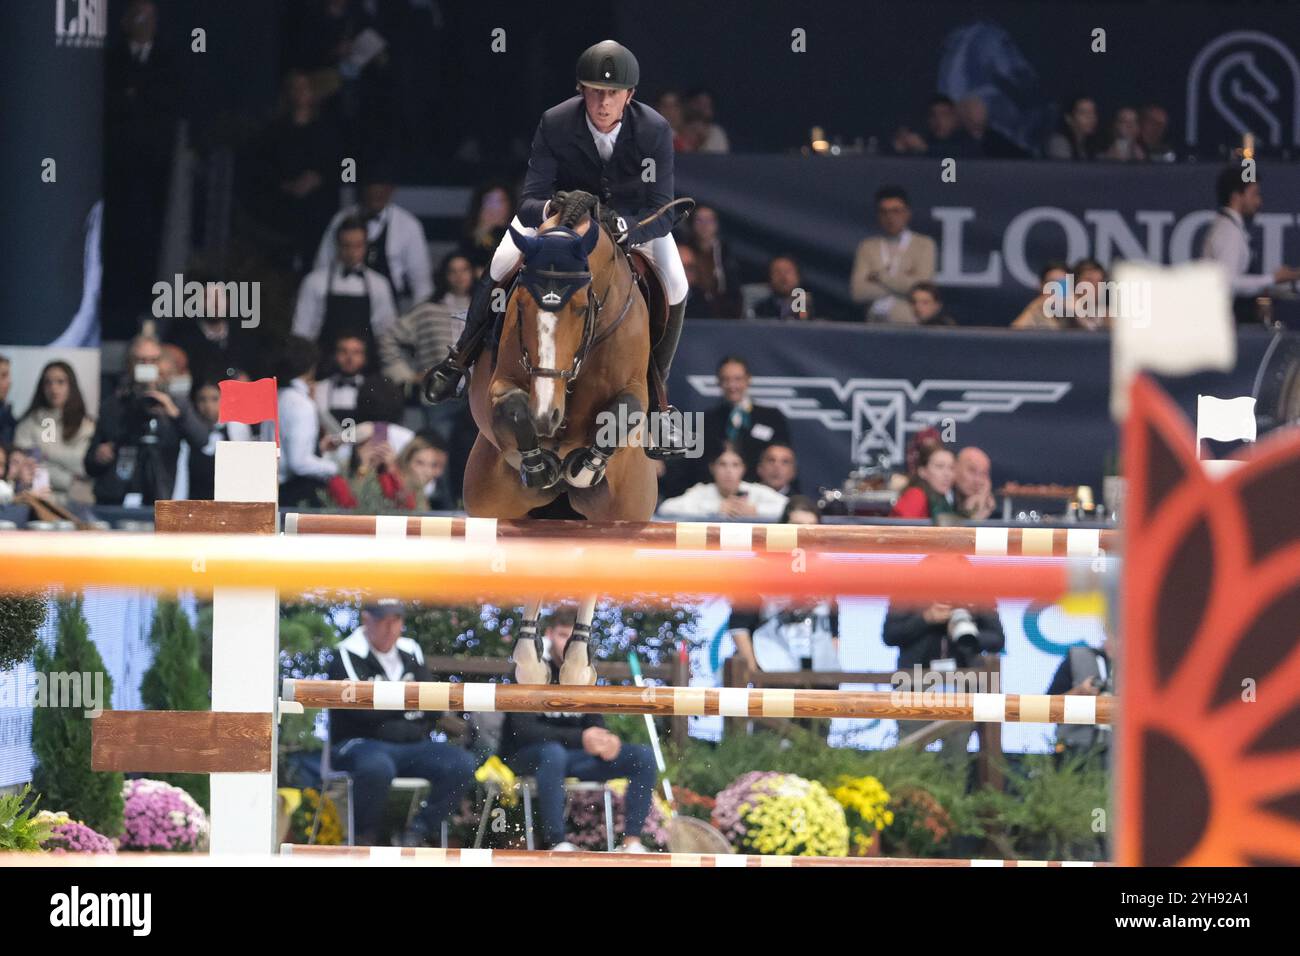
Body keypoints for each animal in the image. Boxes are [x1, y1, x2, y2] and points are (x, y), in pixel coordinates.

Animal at [462, 196, 660, 686]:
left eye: (579, 309)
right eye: (521, 306)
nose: (547, 415)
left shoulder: (633, 390)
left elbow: (619, 414)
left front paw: (584, 467)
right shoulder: (503, 386)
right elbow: (512, 408)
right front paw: (538, 462)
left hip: (620, 512)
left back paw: (574, 664)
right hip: (494, 502)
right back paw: (531, 662)